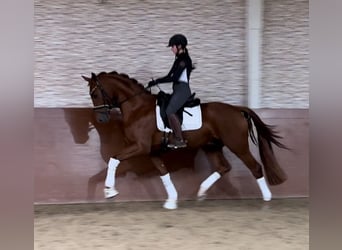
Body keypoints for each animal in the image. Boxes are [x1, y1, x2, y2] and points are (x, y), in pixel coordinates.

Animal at [81, 71, 288, 209]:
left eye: (95, 94)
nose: (101, 119)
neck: (137, 108)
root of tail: (237, 109)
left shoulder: (139, 147)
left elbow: (113, 159)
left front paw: (109, 191)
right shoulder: (152, 151)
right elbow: (164, 173)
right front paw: (172, 200)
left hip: (238, 145)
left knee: (255, 167)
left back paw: (267, 199)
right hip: (212, 146)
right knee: (223, 167)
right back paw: (201, 192)